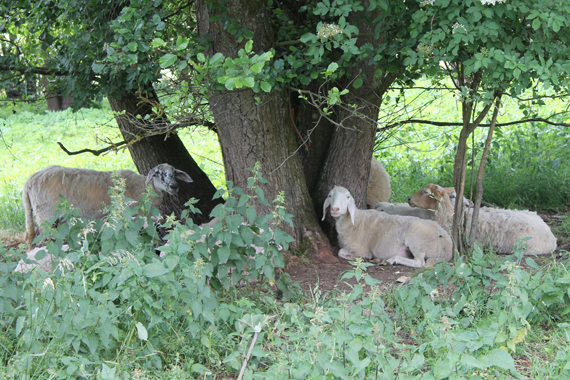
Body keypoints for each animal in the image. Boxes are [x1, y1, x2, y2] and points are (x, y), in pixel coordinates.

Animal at [23, 163, 192, 245]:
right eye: (158, 173)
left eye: (174, 173)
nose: (174, 186)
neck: (143, 188)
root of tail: (28, 181)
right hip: (46, 217)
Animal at [322, 185, 450, 268]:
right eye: (329, 195)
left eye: (348, 197)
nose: (335, 209)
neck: (354, 221)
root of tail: (449, 246)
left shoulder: (362, 249)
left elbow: (341, 251)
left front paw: (358, 258)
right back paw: (382, 261)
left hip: (418, 240)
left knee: (419, 262)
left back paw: (392, 260)